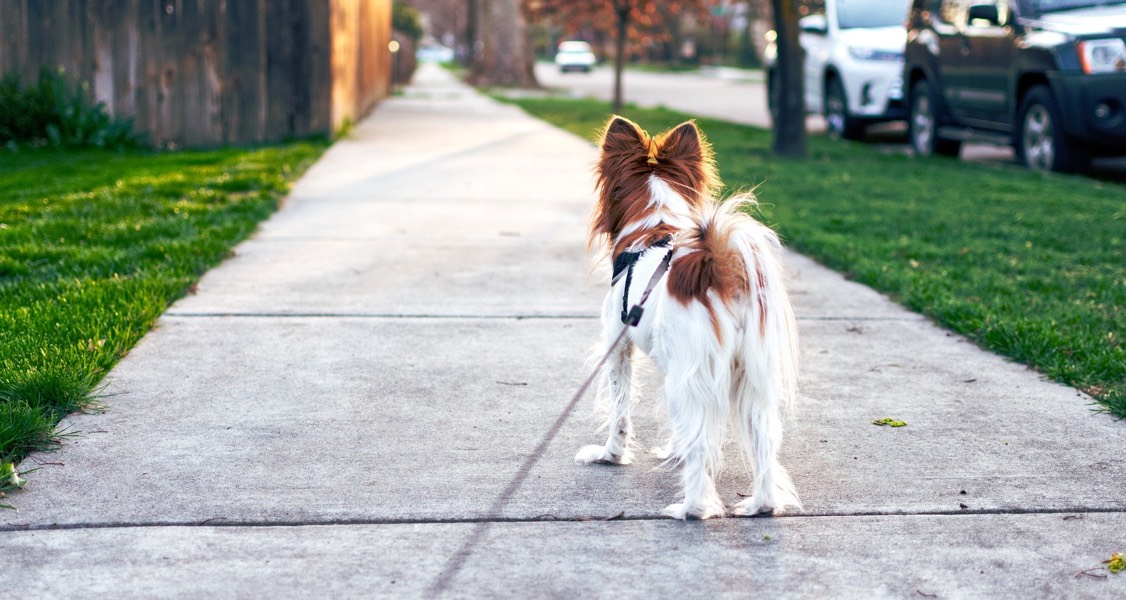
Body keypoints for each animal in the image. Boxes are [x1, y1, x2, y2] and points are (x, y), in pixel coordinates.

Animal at [576, 117, 806, 520]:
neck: (653, 227)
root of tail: (718, 267)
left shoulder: (619, 348)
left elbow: (620, 410)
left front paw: (610, 456)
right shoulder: (676, 365)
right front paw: (673, 451)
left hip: (695, 371)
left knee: (702, 443)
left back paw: (692, 508)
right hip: (750, 377)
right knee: (764, 439)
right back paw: (761, 505)